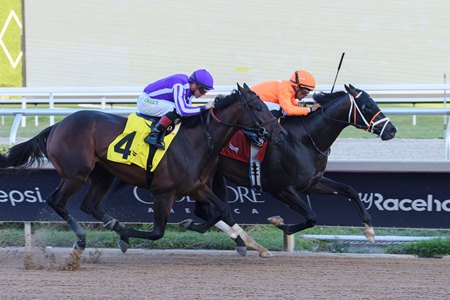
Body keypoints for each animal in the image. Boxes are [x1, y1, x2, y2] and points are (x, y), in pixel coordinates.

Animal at [0, 83, 284, 254]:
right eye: (258, 107)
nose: (280, 134)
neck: (197, 140)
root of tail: (57, 126)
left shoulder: (197, 186)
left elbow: (223, 209)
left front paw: (231, 239)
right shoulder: (163, 192)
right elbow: (158, 232)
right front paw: (128, 235)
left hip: (103, 174)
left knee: (89, 204)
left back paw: (114, 225)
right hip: (76, 174)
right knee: (56, 201)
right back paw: (82, 237)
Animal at [186, 83, 398, 252]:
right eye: (368, 106)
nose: (392, 130)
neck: (305, 140)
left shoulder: (312, 184)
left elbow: (350, 190)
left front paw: (369, 230)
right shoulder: (281, 189)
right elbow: (312, 217)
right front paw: (279, 223)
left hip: (212, 176)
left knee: (207, 210)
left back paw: (242, 241)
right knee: (210, 210)